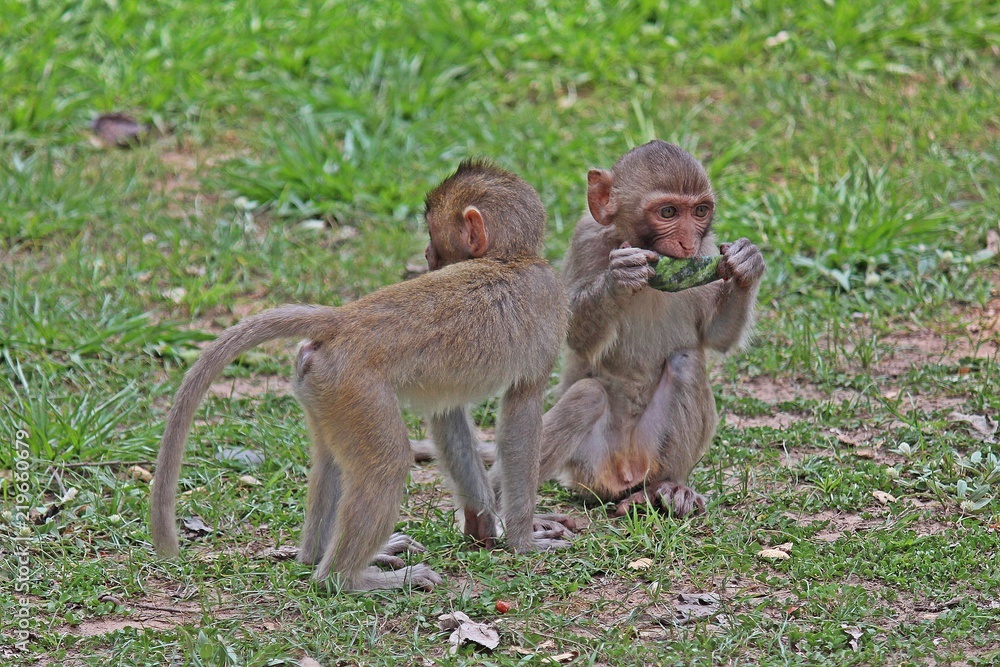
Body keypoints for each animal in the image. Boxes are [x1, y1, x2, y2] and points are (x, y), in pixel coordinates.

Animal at [149, 159, 570, 592]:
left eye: (433, 236)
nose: (426, 253)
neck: (511, 258)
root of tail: (344, 319)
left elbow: (447, 414)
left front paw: (483, 522)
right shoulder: (549, 303)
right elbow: (521, 414)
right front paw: (523, 539)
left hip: (323, 386)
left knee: (333, 458)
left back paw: (319, 555)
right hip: (355, 388)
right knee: (387, 465)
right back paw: (347, 578)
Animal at [533, 140, 765, 518]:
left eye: (700, 211)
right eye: (668, 212)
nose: (687, 243)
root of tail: (626, 469)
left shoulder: (707, 248)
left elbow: (715, 336)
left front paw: (746, 264)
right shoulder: (586, 239)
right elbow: (577, 339)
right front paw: (618, 278)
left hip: (650, 452)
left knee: (686, 363)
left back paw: (666, 488)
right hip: (588, 466)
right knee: (587, 395)